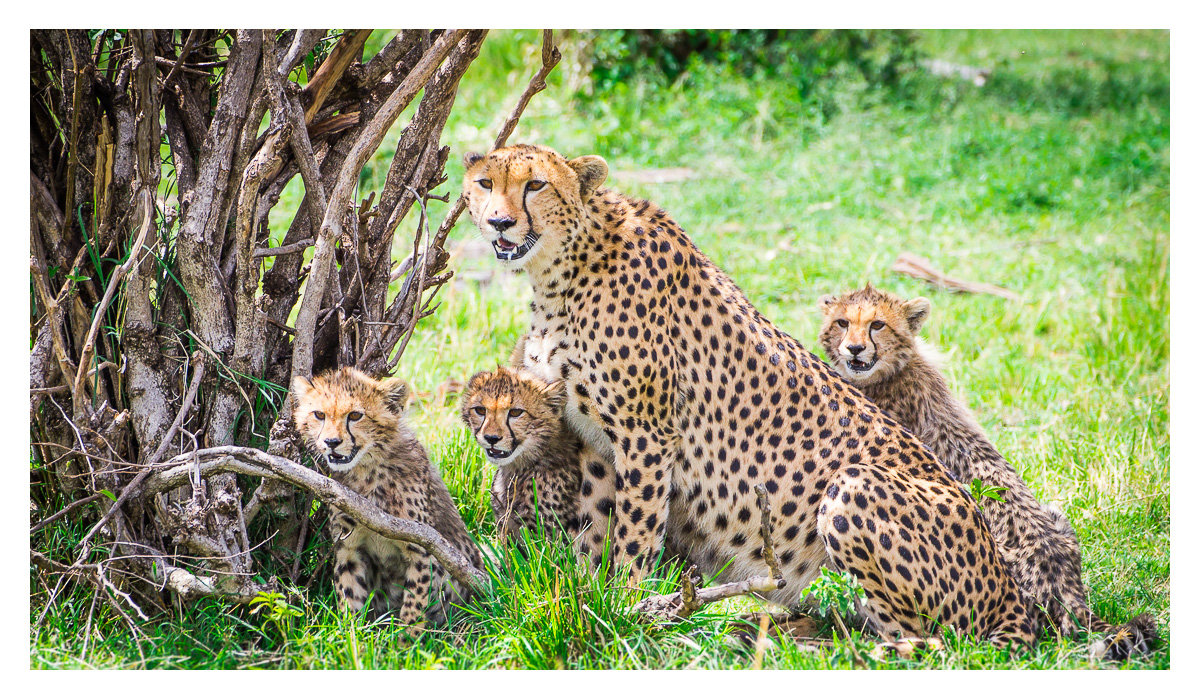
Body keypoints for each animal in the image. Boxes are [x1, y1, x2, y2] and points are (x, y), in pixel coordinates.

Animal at [463, 144, 1036, 653]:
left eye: (535, 185)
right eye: (486, 183)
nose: (500, 223)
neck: (561, 270)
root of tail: (1007, 585)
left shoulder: (647, 434)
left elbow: (634, 534)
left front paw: (623, 607)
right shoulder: (596, 442)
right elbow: (598, 528)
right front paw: (587, 597)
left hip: (853, 489)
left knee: (926, 641)